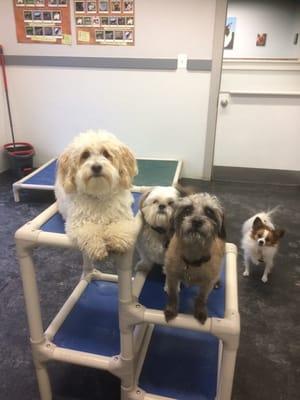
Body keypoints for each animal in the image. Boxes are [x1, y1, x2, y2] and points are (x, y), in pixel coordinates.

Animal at [54, 127, 138, 260]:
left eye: (106, 153)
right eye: (85, 154)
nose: (96, 167)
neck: (99, 194)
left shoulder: (123, 217)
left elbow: (119, 226)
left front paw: (118, 240)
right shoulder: (78, 223)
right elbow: (90, 231)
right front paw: (97, 247)